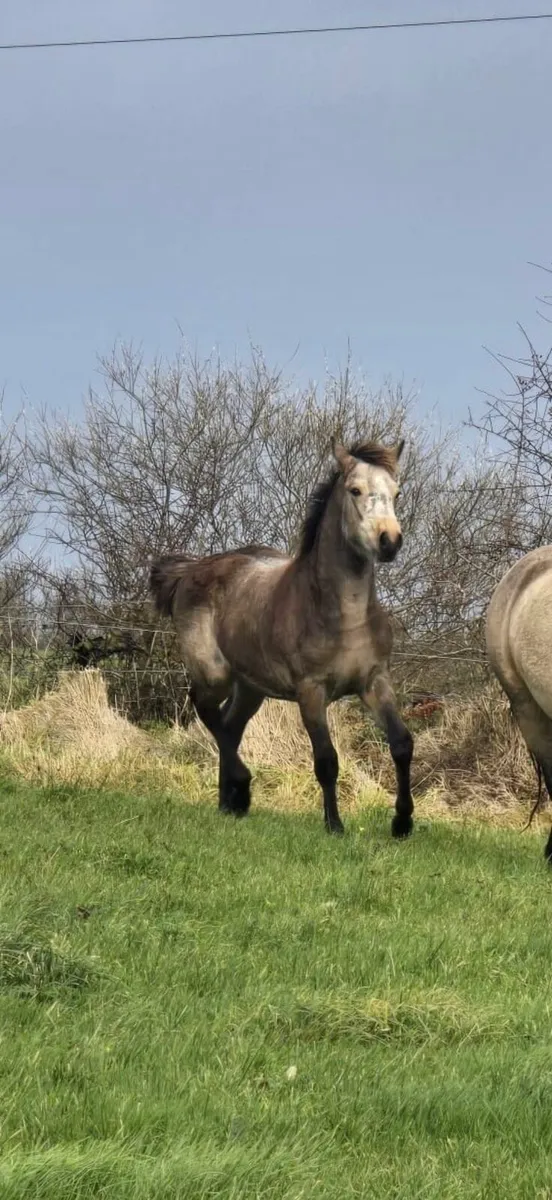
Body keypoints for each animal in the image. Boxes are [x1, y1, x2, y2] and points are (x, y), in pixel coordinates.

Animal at [150, 438, 414, 838]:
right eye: (355, 490)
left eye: (397, 493)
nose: (390, 541)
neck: (343, 616)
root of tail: (191, 569)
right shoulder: (311, 691)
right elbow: (326, 759)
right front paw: (334, 825)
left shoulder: (374, 682)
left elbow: (401, 744)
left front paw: (402, 823)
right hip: (214, 674)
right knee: (206, 710)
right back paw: (241, 788)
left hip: (250, 687)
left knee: (229, 726)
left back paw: (229, 803)